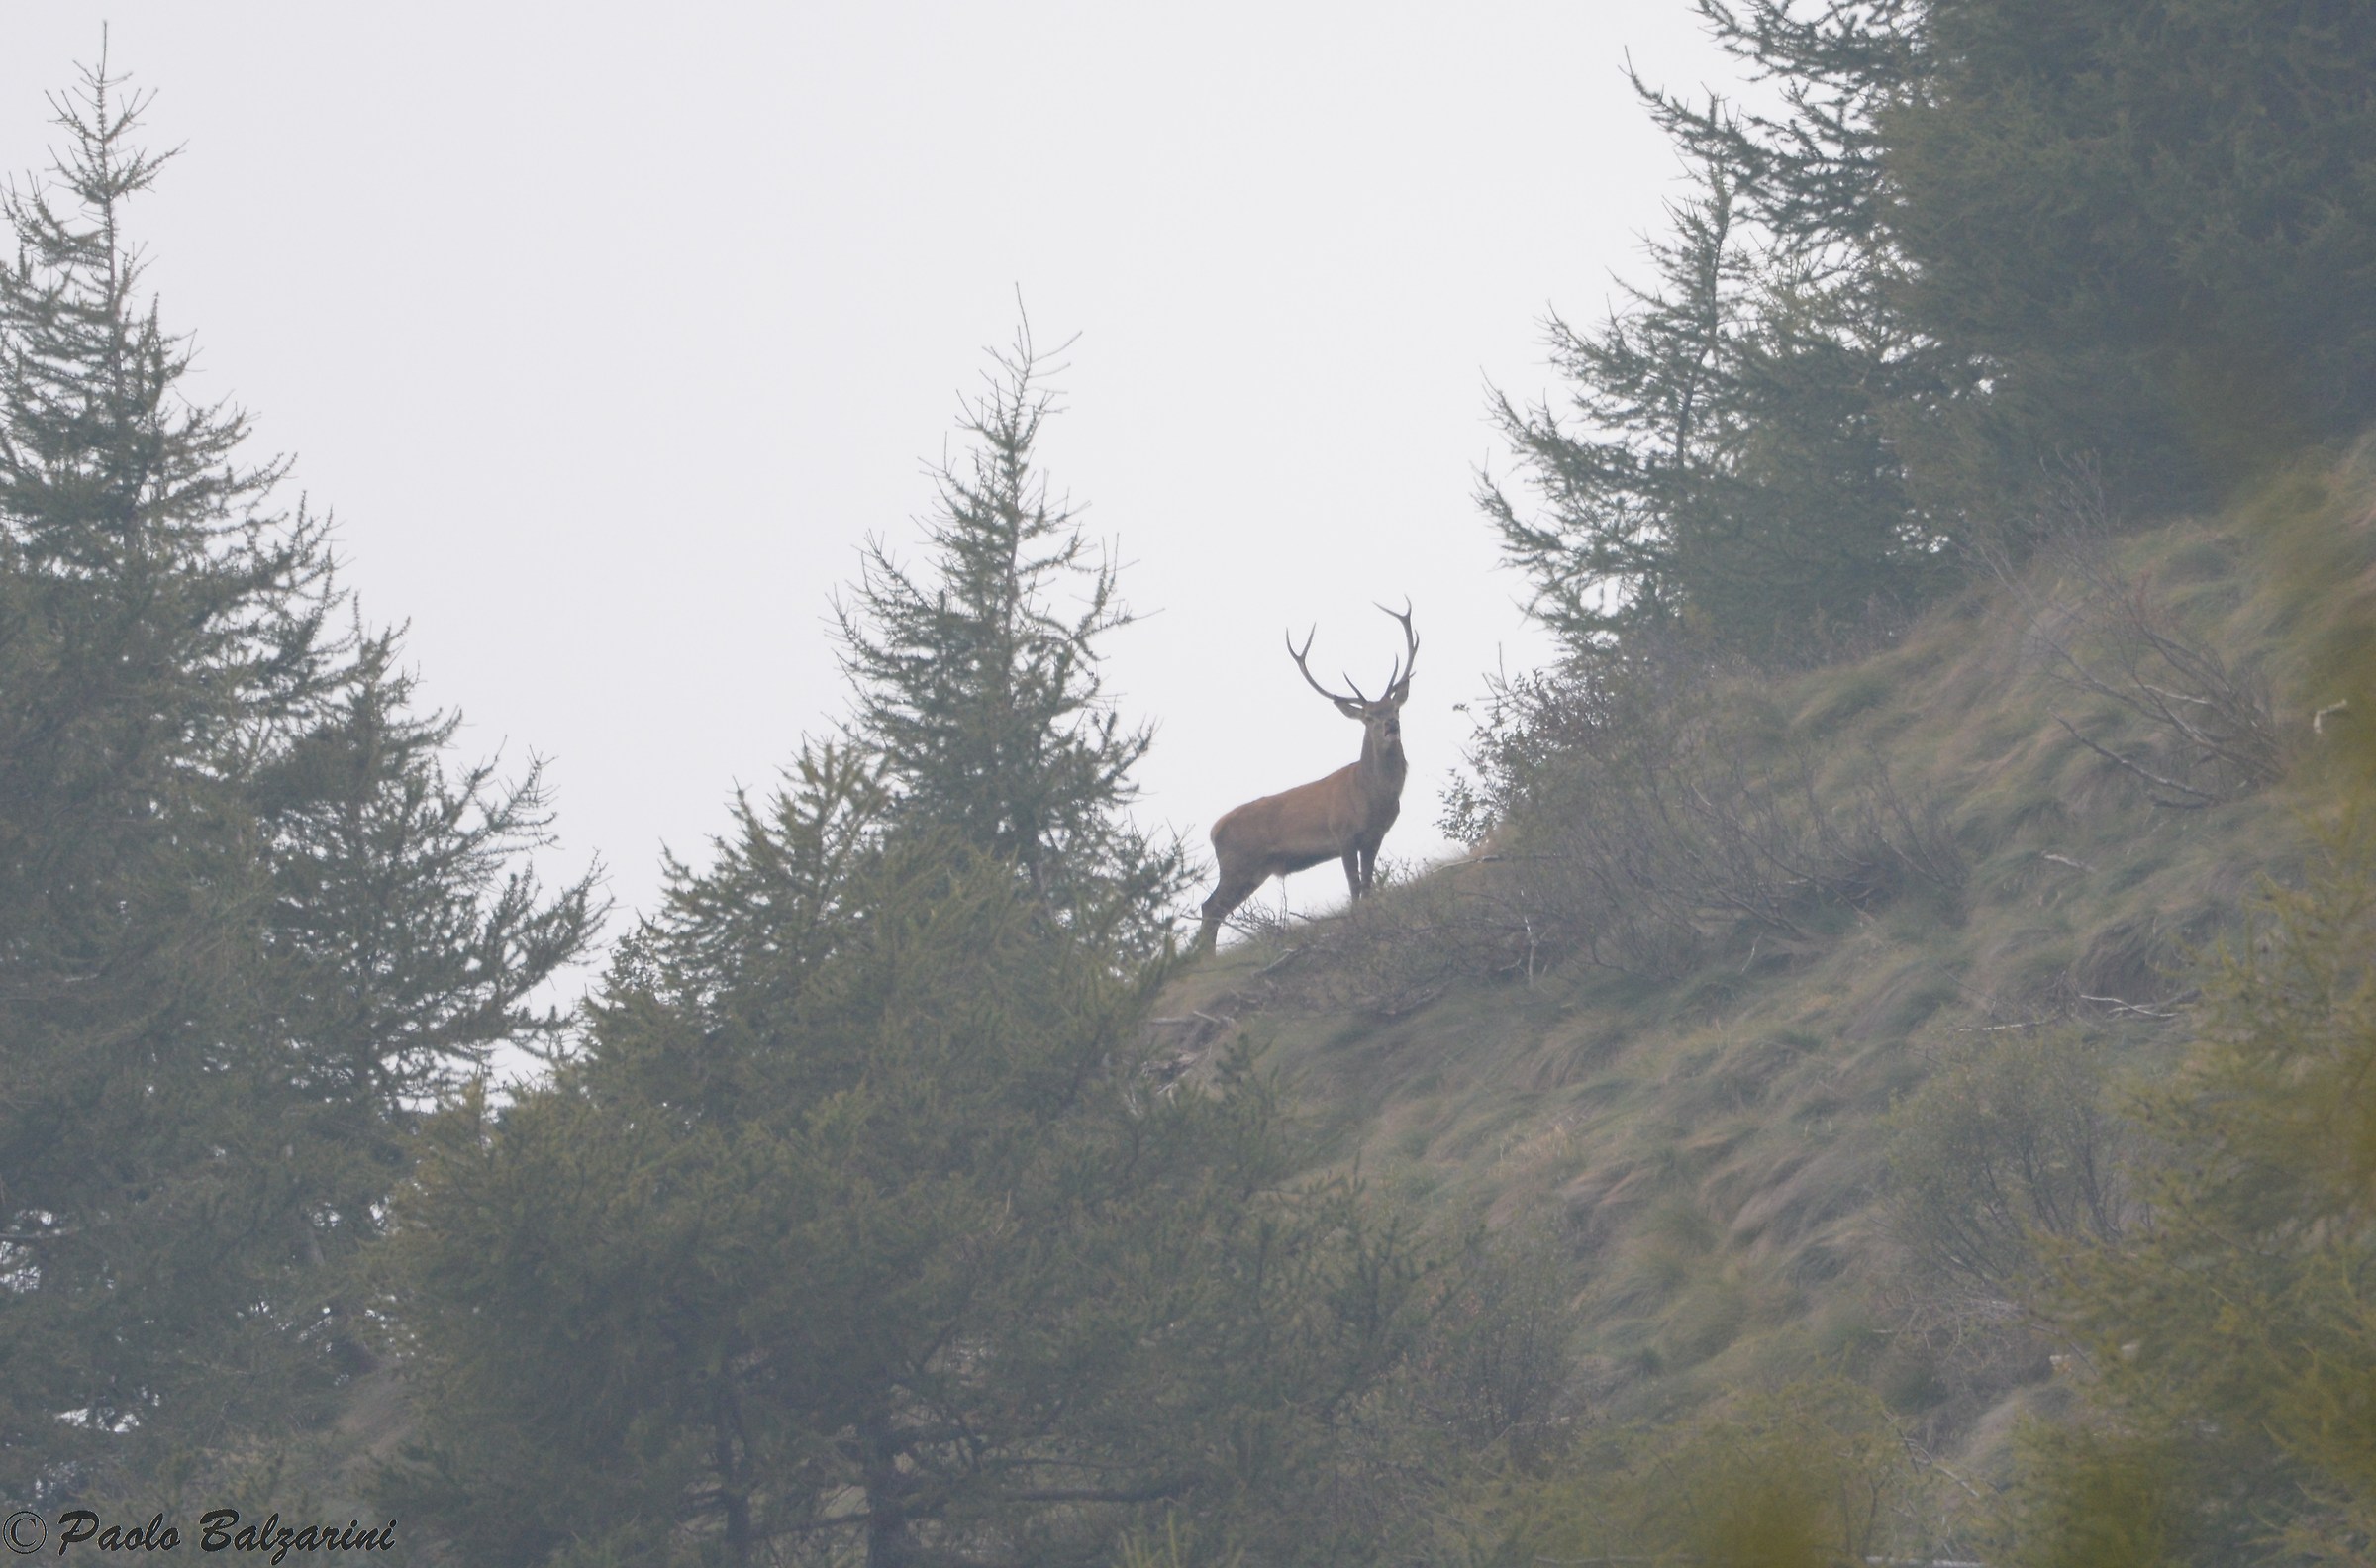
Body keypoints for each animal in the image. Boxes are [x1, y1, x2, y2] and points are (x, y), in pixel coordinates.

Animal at [1193, 602, 1418, 954]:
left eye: (1394, 709)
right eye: (1369, 717)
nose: (1390, 726)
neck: (1373, 797)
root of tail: (1214, 830)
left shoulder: (1374, 836)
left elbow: (1368, 886)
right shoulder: (1344, 834)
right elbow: (1354, 887)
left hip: (1254, 870)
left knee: (1214, 908)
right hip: (1237, 863)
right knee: (1210, 907)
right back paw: (1206, 960)